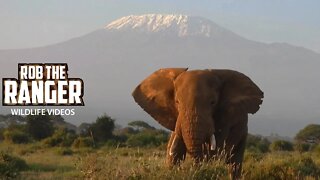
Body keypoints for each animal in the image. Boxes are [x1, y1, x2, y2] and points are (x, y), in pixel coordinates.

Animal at [131, 68, 264, 179]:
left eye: (213, 102)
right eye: (177, 102)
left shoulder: (225, 119)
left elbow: (211, 151)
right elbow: (175, 148)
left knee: (235, 162)